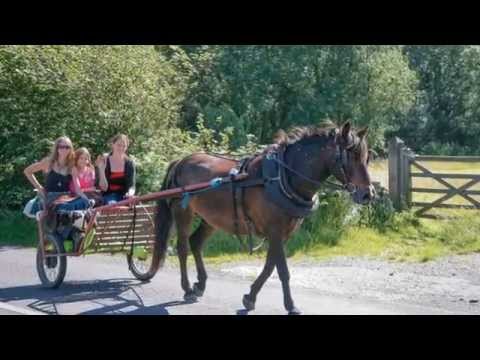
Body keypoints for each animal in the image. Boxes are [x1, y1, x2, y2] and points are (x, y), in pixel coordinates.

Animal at [154, 122, 376, 314]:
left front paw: (250, 297)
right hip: (183, 212)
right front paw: (291, 305)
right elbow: (282, 270)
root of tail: (181, 161)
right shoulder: (275, 231)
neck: (283, 177)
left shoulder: (284, 234)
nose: (368, 194)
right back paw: (187, 289)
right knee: (183, 248)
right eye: (351, 156)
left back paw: (200, 284)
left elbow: (270, 266)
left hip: (211, 219)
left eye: (366, 158)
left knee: (196, 242)